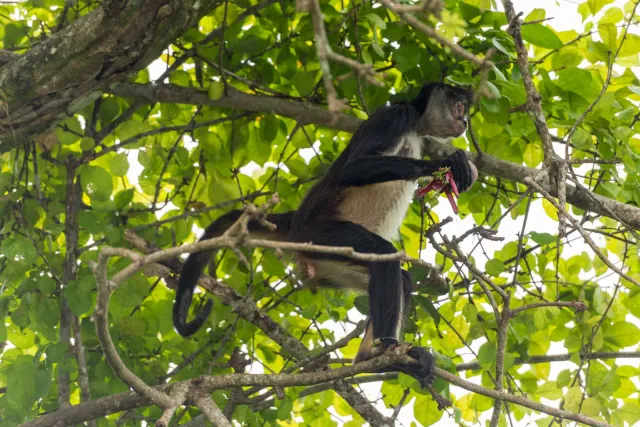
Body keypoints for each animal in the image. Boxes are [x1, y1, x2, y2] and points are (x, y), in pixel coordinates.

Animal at [172, 83, 478, 388]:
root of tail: (295, 220)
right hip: (321, 235)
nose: (464, 123)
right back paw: (388, 350)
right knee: (384, 257)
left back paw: (372, 357)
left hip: (328, 261)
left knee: (399, 278)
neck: (415, 125)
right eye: (459, 108)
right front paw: (445, 163)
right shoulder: (394, 117)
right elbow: (353, 168)